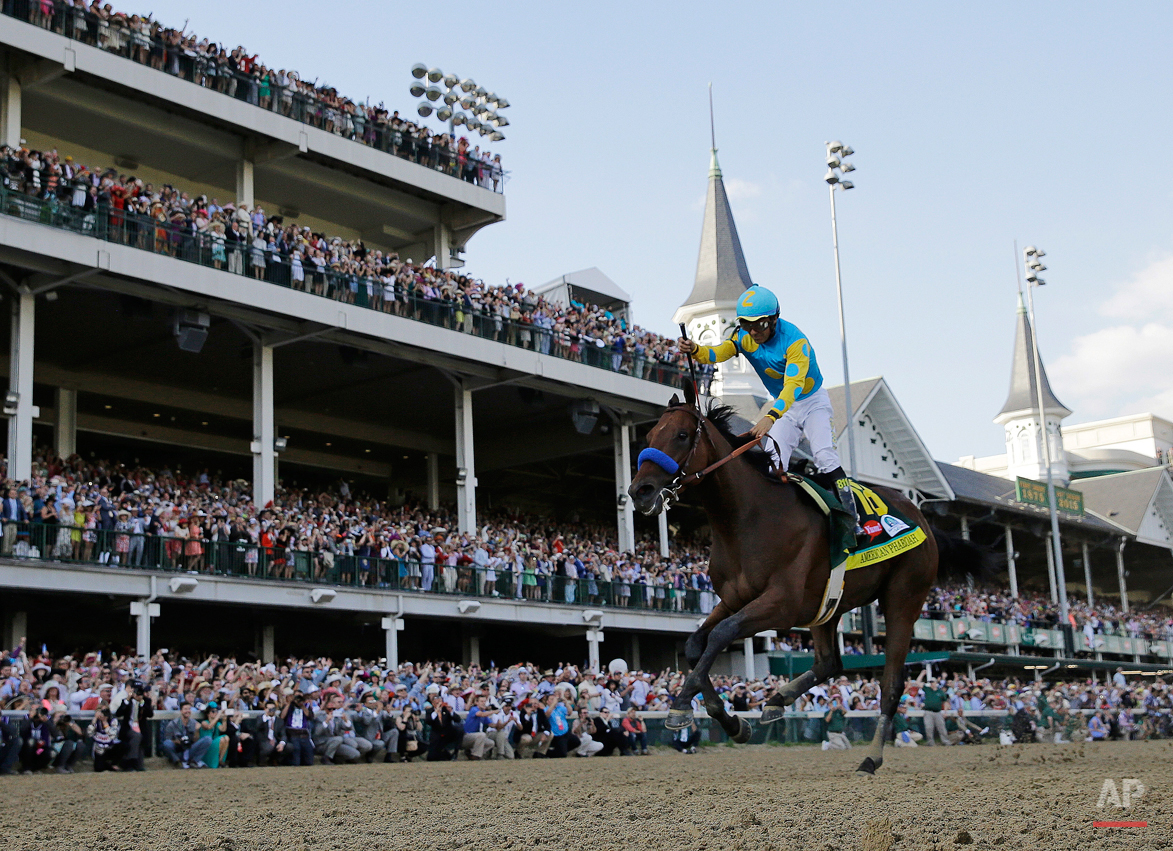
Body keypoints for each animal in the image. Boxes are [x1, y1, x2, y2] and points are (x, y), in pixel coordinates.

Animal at [624, 394, 980, 774]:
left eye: (681, 435)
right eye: (649, 438)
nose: (639, 491)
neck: (747, 518)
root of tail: (922, 520)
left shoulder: (782, 604)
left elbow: (721, 634)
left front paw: (680, 704)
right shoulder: (734, 598)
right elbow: (695, 644)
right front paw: (733, 723)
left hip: (904, 597)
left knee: (891, 682)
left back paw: (871, 757)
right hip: (827, 606)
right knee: (829, 663)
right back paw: (778, 700)